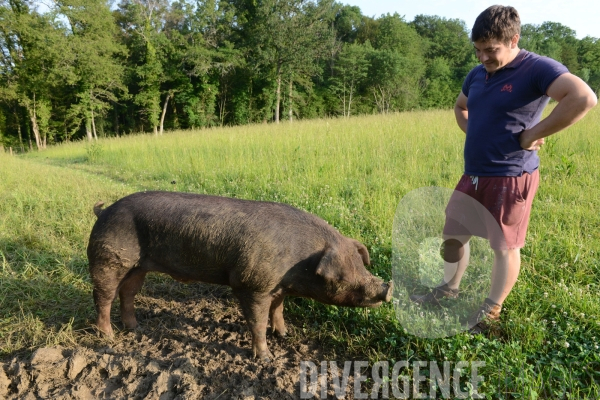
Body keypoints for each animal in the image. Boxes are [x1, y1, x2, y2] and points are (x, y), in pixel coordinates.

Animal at [86, 191, 392, 360]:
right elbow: (256, 322)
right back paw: (109, 338)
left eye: (362, 265)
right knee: (103, 296)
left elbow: (278, 310)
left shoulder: (277, 286)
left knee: (127, 293)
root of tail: (103, 211)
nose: (386, 288)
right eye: (341, 278)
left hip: (139, 266)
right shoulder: (251, 284)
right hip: (108, 259)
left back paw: (136, 328)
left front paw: (285, 335)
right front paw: (266, 359)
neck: (299, 262)